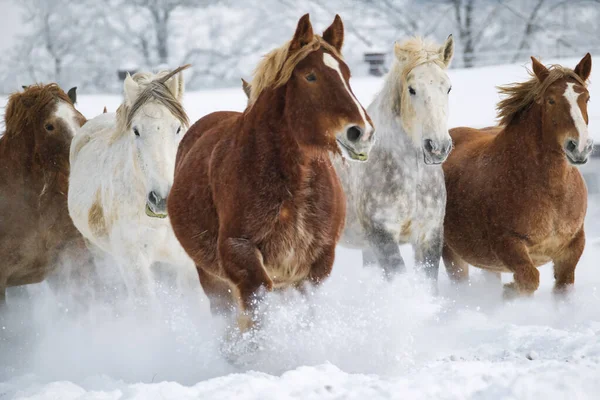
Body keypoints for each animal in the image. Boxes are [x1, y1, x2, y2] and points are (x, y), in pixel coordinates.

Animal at [169, 13, 372, 332]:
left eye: (347, 74)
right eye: (310, 76)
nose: (360, 132)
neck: (294, 185)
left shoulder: (318, 260)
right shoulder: (238, 251)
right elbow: (257, 302)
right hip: (211, 279)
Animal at [442, 54, 592, 296]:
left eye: (586, 98)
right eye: (550, 100)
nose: (579, 147)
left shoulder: (572, 247)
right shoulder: (507, 243)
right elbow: (529, 279)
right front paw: (510, 292)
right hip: (452, 254)